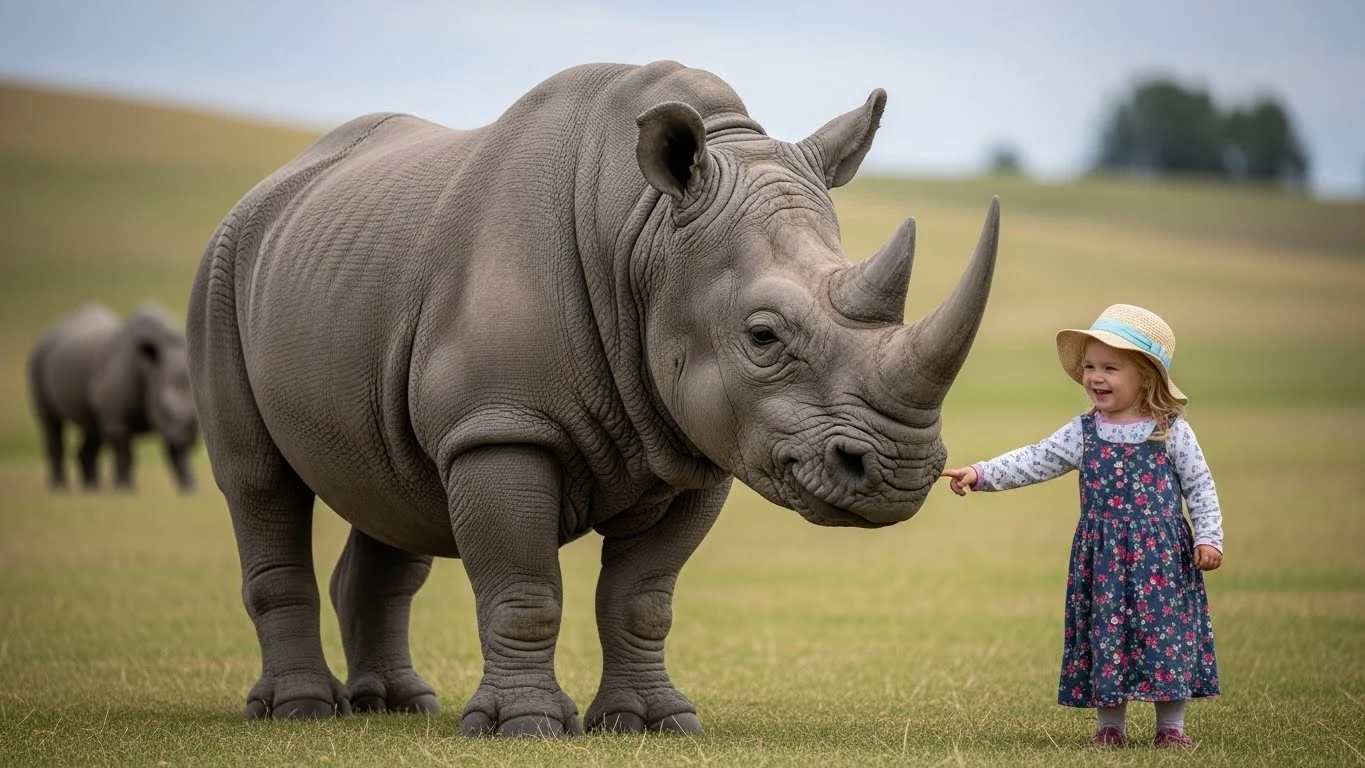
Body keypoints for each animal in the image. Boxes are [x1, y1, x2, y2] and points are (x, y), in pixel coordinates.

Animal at [28, 302, 198, 492]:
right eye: (164, 409)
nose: (187, 438)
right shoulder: (118, 416)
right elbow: (124, 451)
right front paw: (124, 488)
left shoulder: (170, 425)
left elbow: (177, 455)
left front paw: (189, 487)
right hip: (38, 357)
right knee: (51, 424)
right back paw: (60, 487)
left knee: (93, 430)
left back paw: (91, 488)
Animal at [187, 60, 999, 736]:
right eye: (763, 336)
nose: (900, 474)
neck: (646, 236)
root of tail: (269, 189)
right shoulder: (500, 425)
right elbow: (525, 589)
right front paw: (524, 727)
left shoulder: (699, 445)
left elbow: (641, 599)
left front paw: (653, 722)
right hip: (223, 268)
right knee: (258, 483)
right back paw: (299, 712)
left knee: (390, 495)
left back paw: (397, 706)